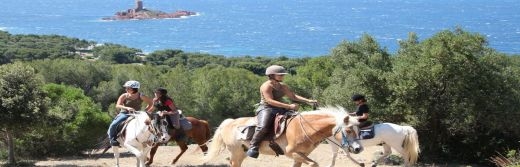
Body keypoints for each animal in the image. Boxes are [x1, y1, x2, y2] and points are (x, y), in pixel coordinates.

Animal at [205, 107, 360, 167]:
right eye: (348, 130)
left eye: (358, 129)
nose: (358, 149)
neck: (305, 128)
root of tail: (229, 123)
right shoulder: (291, 153)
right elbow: (313, 164)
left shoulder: (300, 155)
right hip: (236, 153)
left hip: (242, 152)